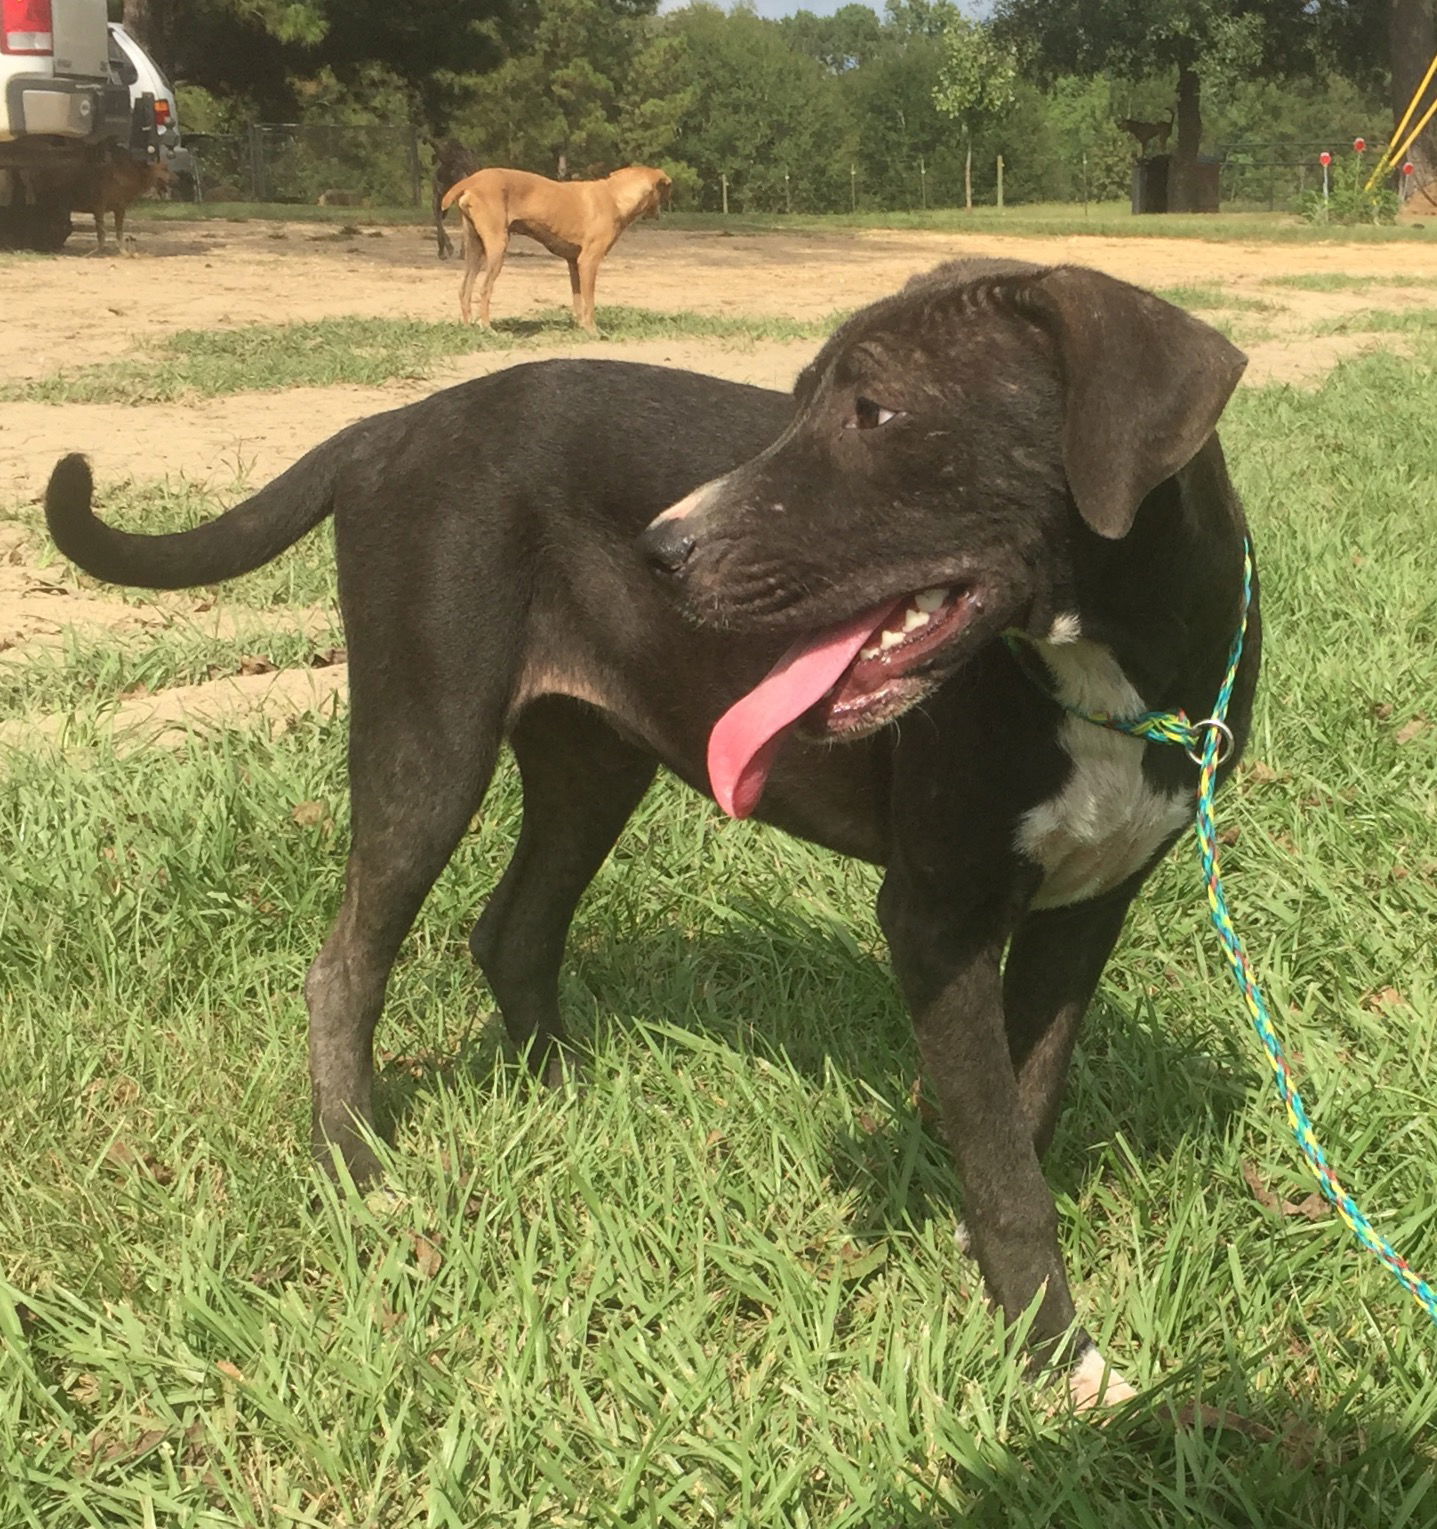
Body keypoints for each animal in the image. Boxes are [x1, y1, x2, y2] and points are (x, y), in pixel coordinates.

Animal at [44, 259, 1259, 1406]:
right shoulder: (935, 915)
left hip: (594, 758)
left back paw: (563, 1096)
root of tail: (390, 426)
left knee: (514, 927)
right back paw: (359, 1168)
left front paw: (1000, 1275)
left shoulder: (1085, 905)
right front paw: (1062, 1361)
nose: (658, 549)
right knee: (346, 962)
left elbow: (1027, 1104)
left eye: (874, 411)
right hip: (429, 734)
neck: (1107, 672)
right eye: (800, 401)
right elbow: (1010, 1175)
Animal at [440, 164, 669, 331]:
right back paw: (487, 328)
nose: (659, 213)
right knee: (485, 289)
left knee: (464, 290)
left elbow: (578, 300)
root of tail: (471, 179)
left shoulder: (574, 262)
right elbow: (590, 302)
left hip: (474, 249)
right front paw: (593, 330)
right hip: (497, 246)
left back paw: (469, 327)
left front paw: (581, 327)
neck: (614, 196)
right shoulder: (589, 261)